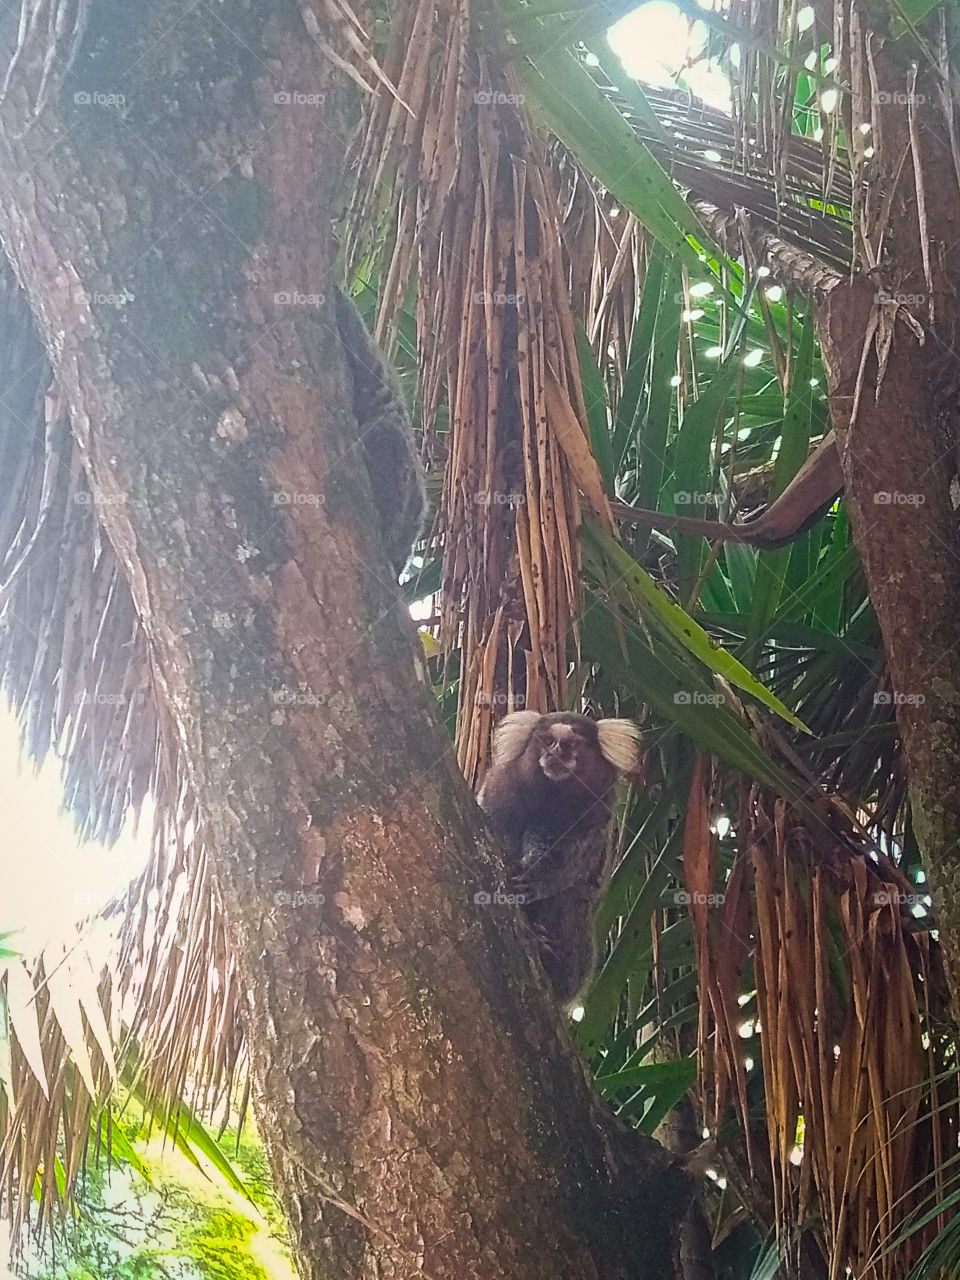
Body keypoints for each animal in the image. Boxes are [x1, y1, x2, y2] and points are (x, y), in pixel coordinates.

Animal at [477, 711, 642, 1004]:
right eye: (547, 740)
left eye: (570, 744)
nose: (554, 753)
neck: (551, 796)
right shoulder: (500, 791)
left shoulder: (593, 817)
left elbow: (569, 860)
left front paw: (532, 878)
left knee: (570, 904)